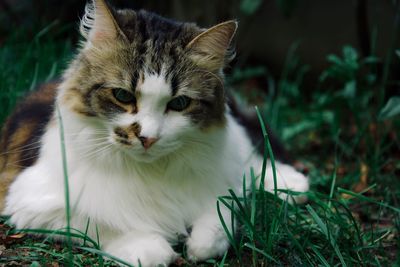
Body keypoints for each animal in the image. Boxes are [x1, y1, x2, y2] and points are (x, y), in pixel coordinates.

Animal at [0, 1, 310, 266]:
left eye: (179, 103)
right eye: (123, 96)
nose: (147, 138)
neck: (151, 171)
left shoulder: (220, 185)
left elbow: (221, 216)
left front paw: (198, 243)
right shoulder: (27, 199)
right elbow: (99, 221)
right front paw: (150, 248)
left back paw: (291, 184)